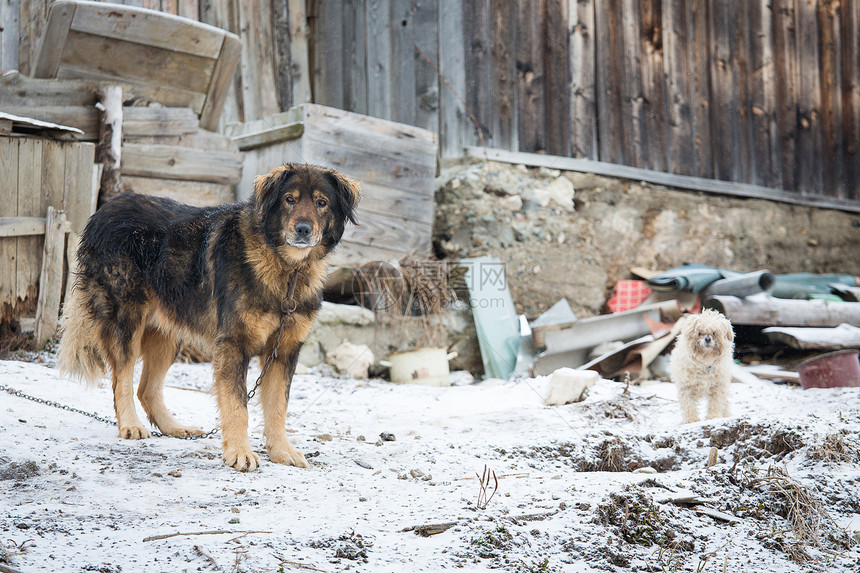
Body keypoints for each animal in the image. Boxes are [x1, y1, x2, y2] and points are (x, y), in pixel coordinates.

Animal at [58, 162, 360, 470]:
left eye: (322, 203)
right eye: (290, 199)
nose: (303, 229)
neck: (287, 269)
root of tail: (105, 210)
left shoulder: (284, 351)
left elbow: (278, 407)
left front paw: (281, 451)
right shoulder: (233, 344)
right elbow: (238, 405)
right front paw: (240, 452)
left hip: (169, 333)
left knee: (146, 388)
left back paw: (174, 428)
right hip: (126, 322)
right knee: (122, 378)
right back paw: (130, 425)